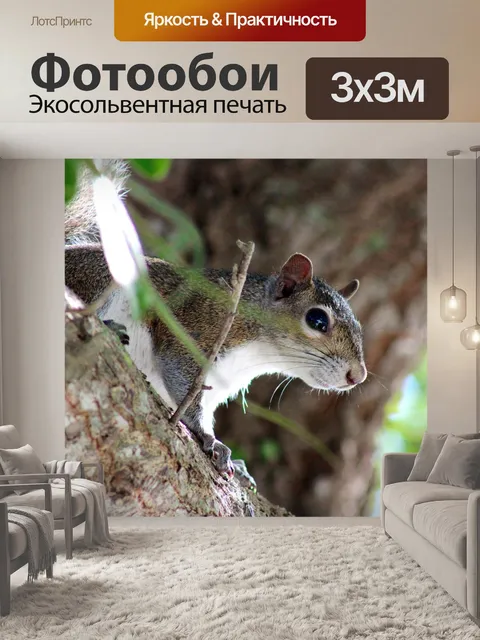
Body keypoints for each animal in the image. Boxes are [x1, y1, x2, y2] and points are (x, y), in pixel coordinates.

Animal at [65, 160, 367, 487]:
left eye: (360, 327)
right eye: (317, 320)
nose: (358, 376)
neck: (257, 352)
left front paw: (238, 463)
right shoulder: (195, 327)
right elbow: (182, 381)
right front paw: (208, 437)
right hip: (99, 275)